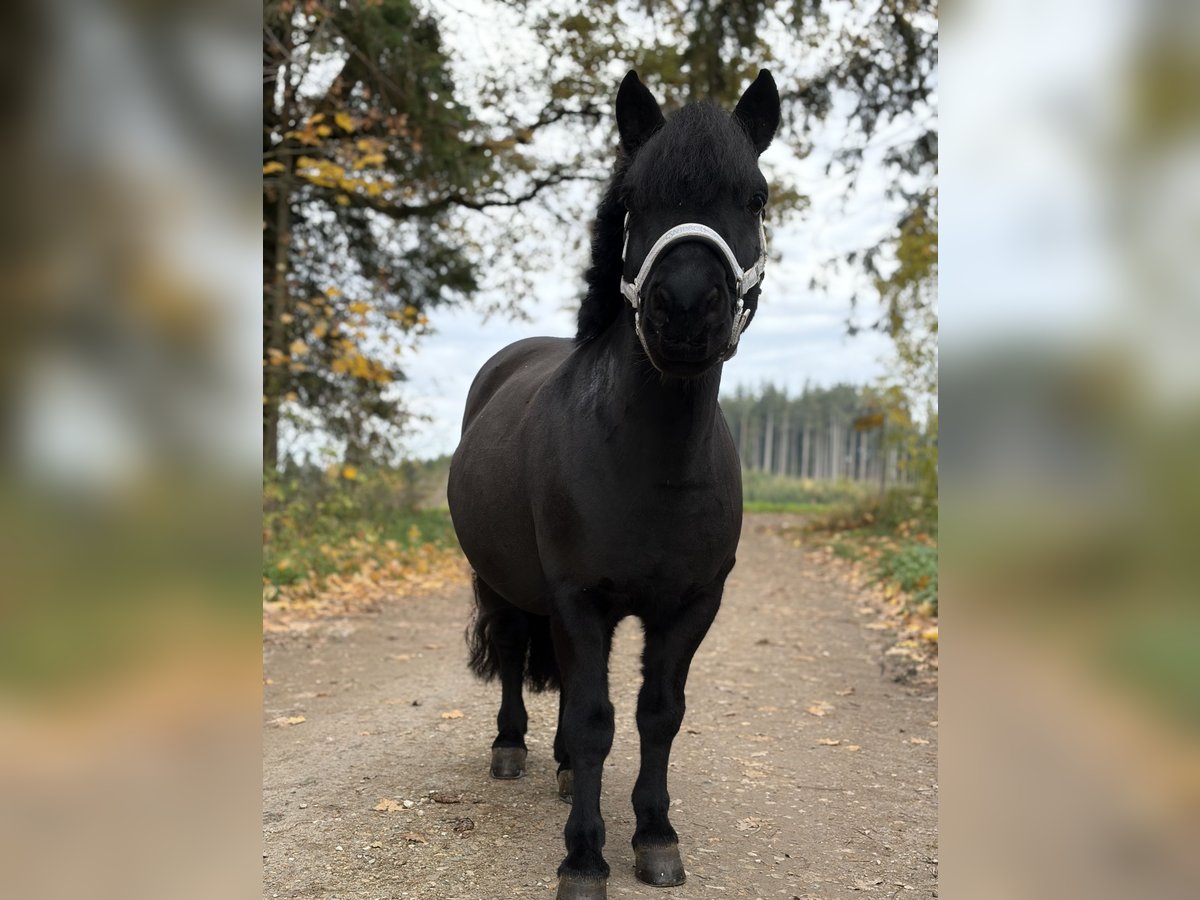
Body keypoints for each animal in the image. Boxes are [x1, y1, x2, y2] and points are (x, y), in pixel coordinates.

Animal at [447, 69, 780, 900]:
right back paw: (513, 749)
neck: (652, 466)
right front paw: (584, 859)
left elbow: (656, 713)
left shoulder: (690, 607)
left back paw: (565, 769)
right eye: (634, 198)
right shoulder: (579, 598)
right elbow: (598, 719)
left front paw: (656, 837)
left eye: (755, 197)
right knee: (513, 653)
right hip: (502, 584)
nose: (686, 309)